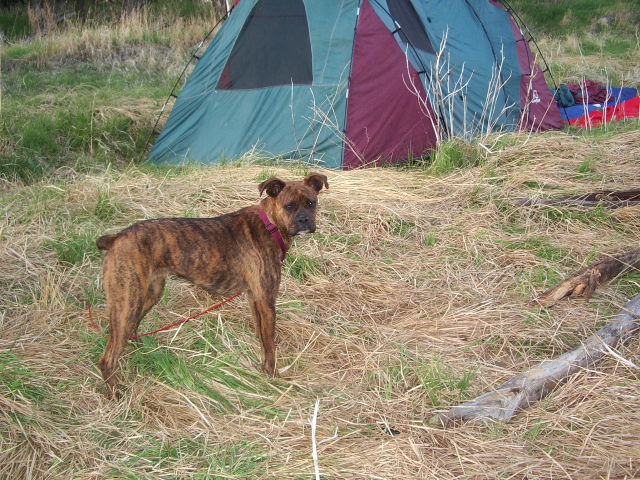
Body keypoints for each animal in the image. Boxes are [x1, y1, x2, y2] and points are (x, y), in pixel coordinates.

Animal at [97, 174, 328, 396]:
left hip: (148, 294)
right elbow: (270, 343)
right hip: (127, 302)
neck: (270, 224)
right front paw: (272, 376)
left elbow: (263, 336)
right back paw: (116, 394)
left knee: (130, 331)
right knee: (108, 358)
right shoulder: (266, 299)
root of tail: (117, 237)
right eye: (289, 206)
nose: (304, 220)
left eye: (311, 202)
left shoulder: (255, 298)